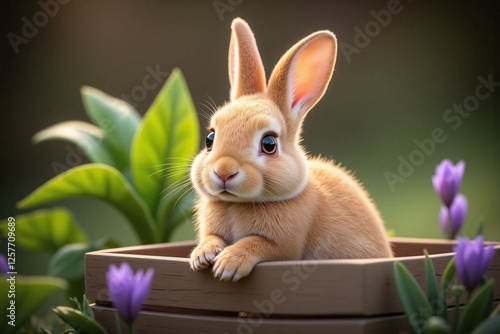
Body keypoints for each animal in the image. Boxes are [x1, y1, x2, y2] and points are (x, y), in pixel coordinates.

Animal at [189, 18, 392, 282]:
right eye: (210, 139)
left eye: (269, 144)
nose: (223, 171)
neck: (237, 204)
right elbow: (211, 238)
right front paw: (201, 256)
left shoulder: (283, 246)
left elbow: (257, 243)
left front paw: (227, 265)